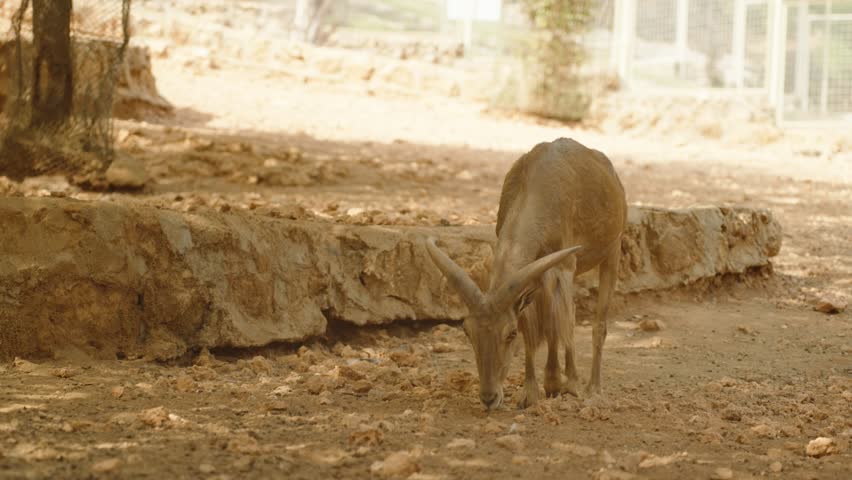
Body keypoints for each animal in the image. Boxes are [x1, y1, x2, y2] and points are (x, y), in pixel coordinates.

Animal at [426, 138, 627, 410]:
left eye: (509, 334)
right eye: (467, 331)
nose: (489, 398)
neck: (536, 191)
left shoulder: (563, 265)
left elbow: (559, 323)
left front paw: (561, 384)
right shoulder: (533, 277)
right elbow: (532, 325)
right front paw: (531, 392)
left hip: (612, 252)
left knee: (596, 325)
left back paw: (592, 387)